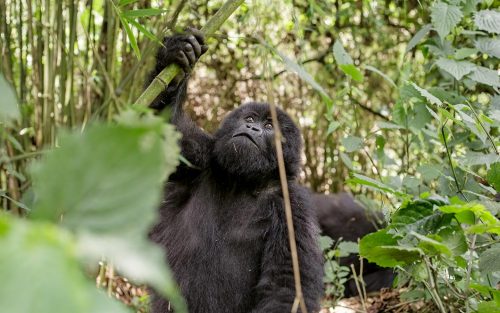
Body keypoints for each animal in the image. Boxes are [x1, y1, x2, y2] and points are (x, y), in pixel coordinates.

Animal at [146, 29, 322, 312]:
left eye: (269, 126)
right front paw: (178, 54)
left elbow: (287, 284)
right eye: (249, 119)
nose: (252, 129)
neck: (244, 180)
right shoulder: (204, 156)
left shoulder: (294, 207)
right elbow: (160, 134)